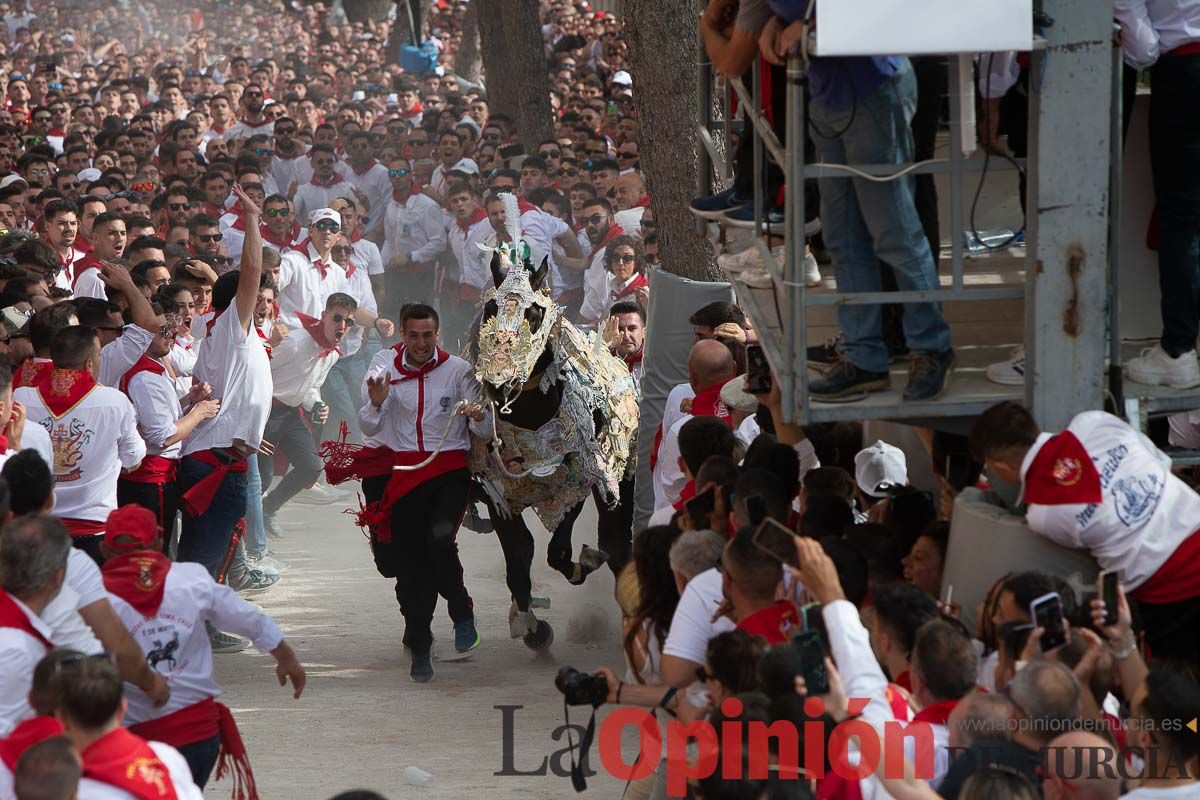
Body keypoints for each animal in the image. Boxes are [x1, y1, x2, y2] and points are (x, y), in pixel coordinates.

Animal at [463, 200, 643, 652]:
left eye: (534, 312)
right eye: (490, 309)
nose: (499, 380)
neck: (530, 414)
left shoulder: (574, 480)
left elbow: (558, 552)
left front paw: (583, 563)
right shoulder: (500, 494)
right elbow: (519, 556)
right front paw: (530, 625)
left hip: (622, 473)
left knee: (616, 540)